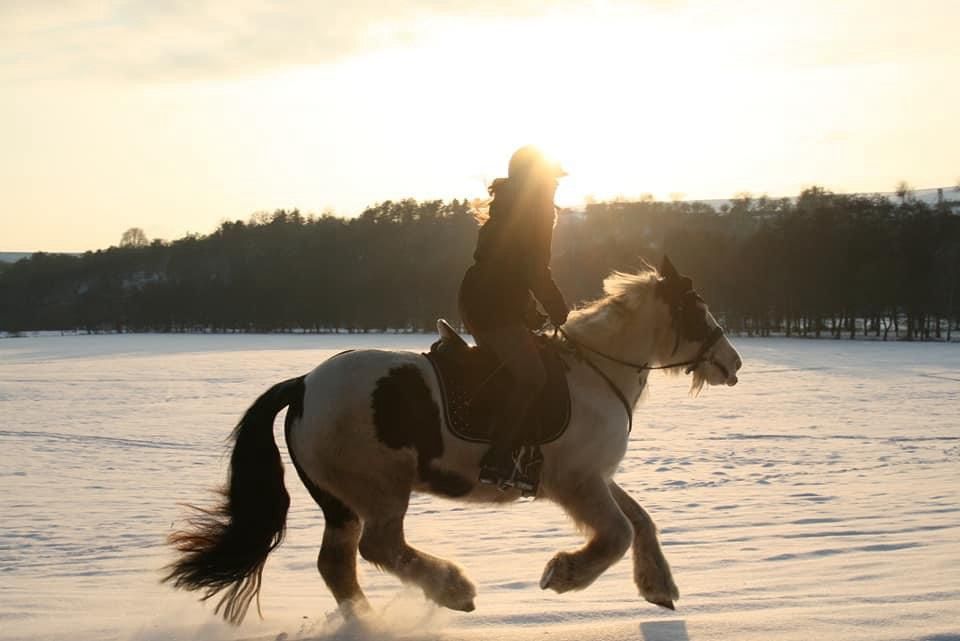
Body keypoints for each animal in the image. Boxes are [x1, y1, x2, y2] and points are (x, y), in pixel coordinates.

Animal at [165, 252, 744, 624]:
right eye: (697, 308)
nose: (733, 363)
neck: (596, 372)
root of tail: (304, 384)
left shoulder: (594, 478)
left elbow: (641, 521)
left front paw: (660, 587)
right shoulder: (577, 482)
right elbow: (619, 533)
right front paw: (563, 575)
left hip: (340, 501)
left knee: (338, 565)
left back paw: (370, 621)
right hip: (380, 489)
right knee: (381, 546)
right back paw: (455, 590)